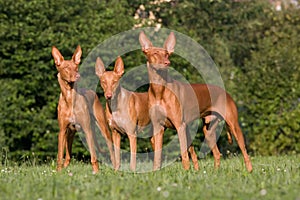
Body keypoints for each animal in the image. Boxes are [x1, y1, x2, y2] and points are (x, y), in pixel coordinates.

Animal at [139, 31, 252, 172]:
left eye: (167, 54)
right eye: (155, 53)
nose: (167, 62)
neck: (159, 90)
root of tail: (225, 91)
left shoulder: (180, 126)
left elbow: (184, 153)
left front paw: (186, 171)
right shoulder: (158, 128)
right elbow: (157, 155)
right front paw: (155, 171)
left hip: (233, 125)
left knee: (244, 151)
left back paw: (249, 171)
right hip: (208, 131)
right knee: (217, 153)